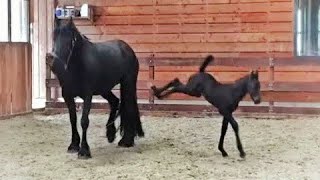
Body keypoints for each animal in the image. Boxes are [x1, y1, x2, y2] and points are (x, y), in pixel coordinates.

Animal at [46, 16, 144, 158]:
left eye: (70, 40)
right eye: (54, 37)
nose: (52, 60)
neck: (77, 66)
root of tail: (127, 49)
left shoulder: (88, 95)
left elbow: (84, 121)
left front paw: (84, 150)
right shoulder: (67, 96)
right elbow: (73, 119)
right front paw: (73, 145)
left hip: (128, 83)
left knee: (129, 107)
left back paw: (126, 140)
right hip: (104, 88)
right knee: (114, 102)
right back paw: (110, 134)